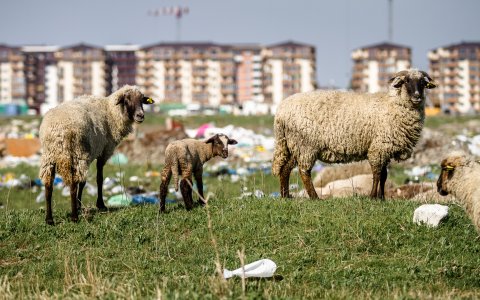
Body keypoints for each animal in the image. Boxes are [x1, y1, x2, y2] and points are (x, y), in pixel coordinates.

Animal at [40, 85, 156, 224]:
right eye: (127, 99)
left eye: (142, 100)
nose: (140, 115)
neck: (110, 111)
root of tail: (58, 131)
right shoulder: (103, 151)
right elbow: (99, 178)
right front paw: (100, 204)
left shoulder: (90, 155)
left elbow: (83, 182)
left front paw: (79, 205)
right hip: (76, 154)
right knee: (73, 185)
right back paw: (74, 217)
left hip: (49, 157)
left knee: (48, 186)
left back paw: (49, 219)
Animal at [272, 68, 436, 199]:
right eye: (406, 81)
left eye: (423, 83)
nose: (417, 96)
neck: (393, 105)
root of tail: (280, 112)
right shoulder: (378, 148)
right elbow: (377, 174)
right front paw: (372, 197)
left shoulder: (385, 149)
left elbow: (384, 175)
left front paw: (382, 198)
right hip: (306, 145)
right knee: (304, 172)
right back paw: (314, 197)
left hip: (293, 145)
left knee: (285, 169)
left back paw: (286, 196)